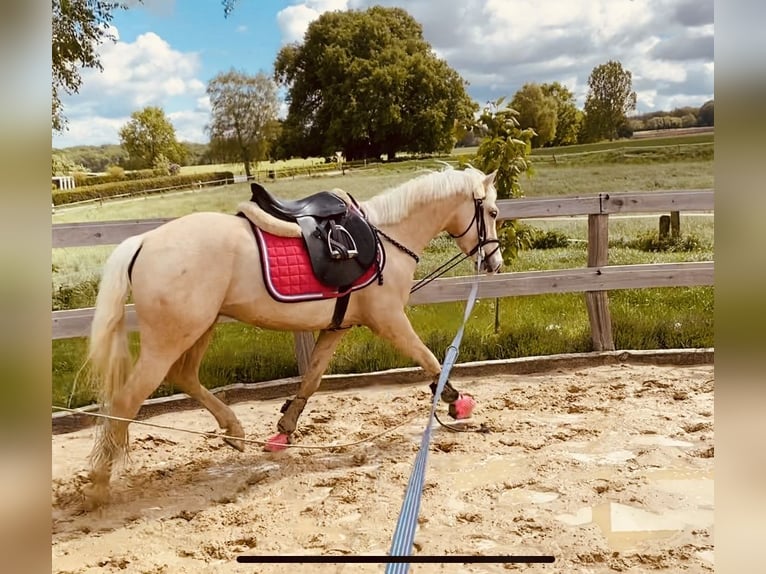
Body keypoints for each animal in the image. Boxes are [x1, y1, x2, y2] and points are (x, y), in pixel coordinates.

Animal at [82, 166, 503, 509]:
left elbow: (312, 378)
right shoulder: (389, 321)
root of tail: (144, 242)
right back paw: (99, 485)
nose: (495, 262)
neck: (387, 237)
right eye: (494, 213)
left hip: (200, 327)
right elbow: (430, 359)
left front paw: (283, 432)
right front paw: (457, 402)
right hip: (170, 339)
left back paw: (234, 432)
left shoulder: (337, 327)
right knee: (126, 400)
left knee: (184, 377)